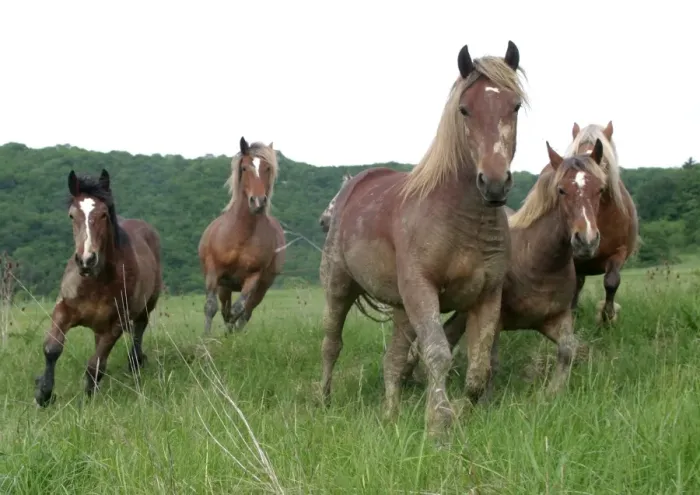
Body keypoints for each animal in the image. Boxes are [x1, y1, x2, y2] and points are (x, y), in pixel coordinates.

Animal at [34, 169, 162, 407]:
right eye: (72, 215)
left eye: (103, 214)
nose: (86, 259)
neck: (95, 282)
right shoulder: (63, 309)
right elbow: (52, 348)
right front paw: (43, 393)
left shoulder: (116, 324)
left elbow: (95, 365)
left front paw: (87, 400)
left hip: (146, 307)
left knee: (138, 331)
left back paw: (135, 364)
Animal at [198, 137, 285, 335]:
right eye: (245, 168)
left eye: (267, 168)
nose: (258, 201)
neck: (240, 235)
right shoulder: (214, 272)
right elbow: (211, 307)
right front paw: (205, 338)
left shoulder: (253, 277)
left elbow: (239, 310)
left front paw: (231, 335)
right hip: (225, 286)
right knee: (225, 308)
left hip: (261, 288)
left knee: (246, 312)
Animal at [319, 41, 528, 437]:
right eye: (465, 109)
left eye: (515, 106)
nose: (494, 184)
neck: (460, 218)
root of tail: (352, 187)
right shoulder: (422, 290)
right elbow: (437, 355)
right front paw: (438, 423)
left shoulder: (487, 296)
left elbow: (477, 372)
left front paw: (458, 413)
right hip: (341, 287)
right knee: (331, 344)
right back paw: (321, 400)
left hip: (402, 309)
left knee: (393, 360)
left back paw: (391, 416)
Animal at [401, 140, 608, 397]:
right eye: (561, 190)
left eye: (600, 189)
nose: (586, 241)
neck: (537, 263)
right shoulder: (495, 322)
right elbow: (490, 364)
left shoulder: (556, 318)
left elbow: (568, 349)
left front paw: (552, 393)